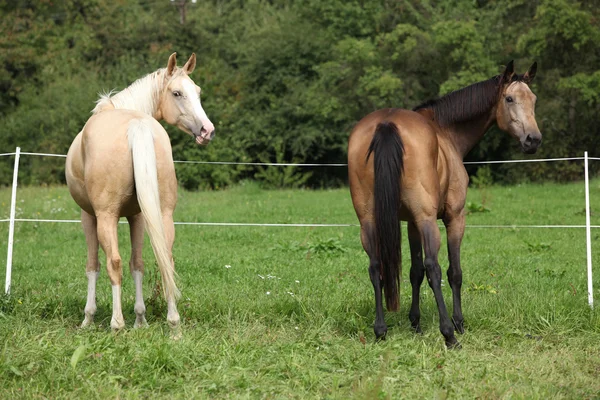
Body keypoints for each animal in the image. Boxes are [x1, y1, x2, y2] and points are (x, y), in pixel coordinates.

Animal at [65, 53, 214, 334]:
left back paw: (116, 323)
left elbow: (93, 266)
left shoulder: (88, 216)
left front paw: (88, 318)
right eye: (177, 92)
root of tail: (137, 125)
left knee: (113, 262)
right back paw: (173, 323)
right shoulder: (139, 217)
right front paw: (141, 318)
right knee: (166, 261)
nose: (206, 131)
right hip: (163, 215)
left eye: (198, 92)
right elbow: (138, 265)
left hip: (106, 217)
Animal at [346, 60, 540, 346]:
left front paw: (415, 323)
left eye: (533, 100)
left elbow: (414, 272)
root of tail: (386, 123)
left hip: (369, 220)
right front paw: (458, 323)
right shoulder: (454, 218)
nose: (533, 140)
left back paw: (380, 331)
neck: (444, 131)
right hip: (429, 221)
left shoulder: (411, 223)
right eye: (509, 98)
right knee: (434, 269)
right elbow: (453, 273)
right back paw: (449, 334)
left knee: (376, 266)